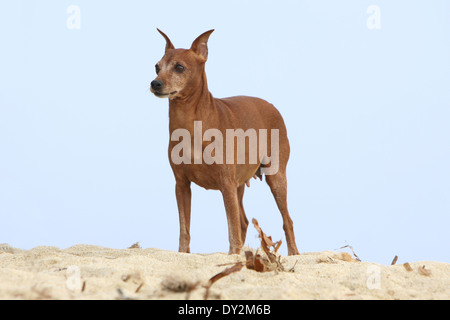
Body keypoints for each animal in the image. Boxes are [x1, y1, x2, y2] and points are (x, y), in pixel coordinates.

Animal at [149, 29, 300, 255]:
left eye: (179, 67)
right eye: (156, 67)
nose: (155, 83)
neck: (190, 123)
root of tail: (271, 105)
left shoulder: (226, 184)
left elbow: (232, 227)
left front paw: (233, 255)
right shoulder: (181, 185)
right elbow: (185, 229)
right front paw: (183, 253)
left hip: (275, 177)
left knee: (286, 220)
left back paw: (293, 254)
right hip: (239, 185)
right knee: (244, 221)